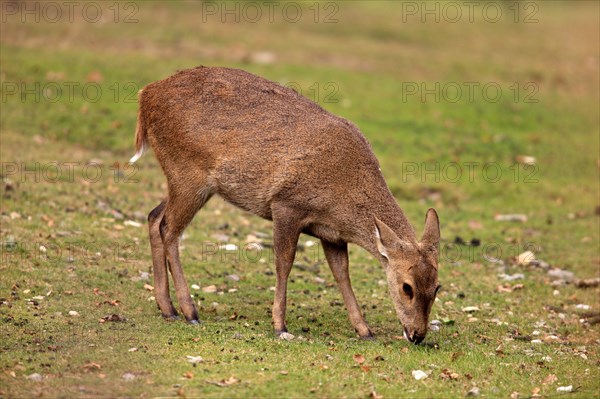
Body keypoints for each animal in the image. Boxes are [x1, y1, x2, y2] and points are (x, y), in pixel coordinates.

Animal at [130, 66, 440, 344]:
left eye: (437, 287)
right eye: (407, 287)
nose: (417, 335)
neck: (343, 194)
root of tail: (145, 96)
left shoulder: (332, 234)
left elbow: (342, 274)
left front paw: (365, 330)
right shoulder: (286, 205)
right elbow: (284, 263)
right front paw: (280, 325)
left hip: (188, 182)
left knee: (154, 217)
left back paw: (167, 308)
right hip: (187, 172)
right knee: (170, 229)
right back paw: (189, 311)